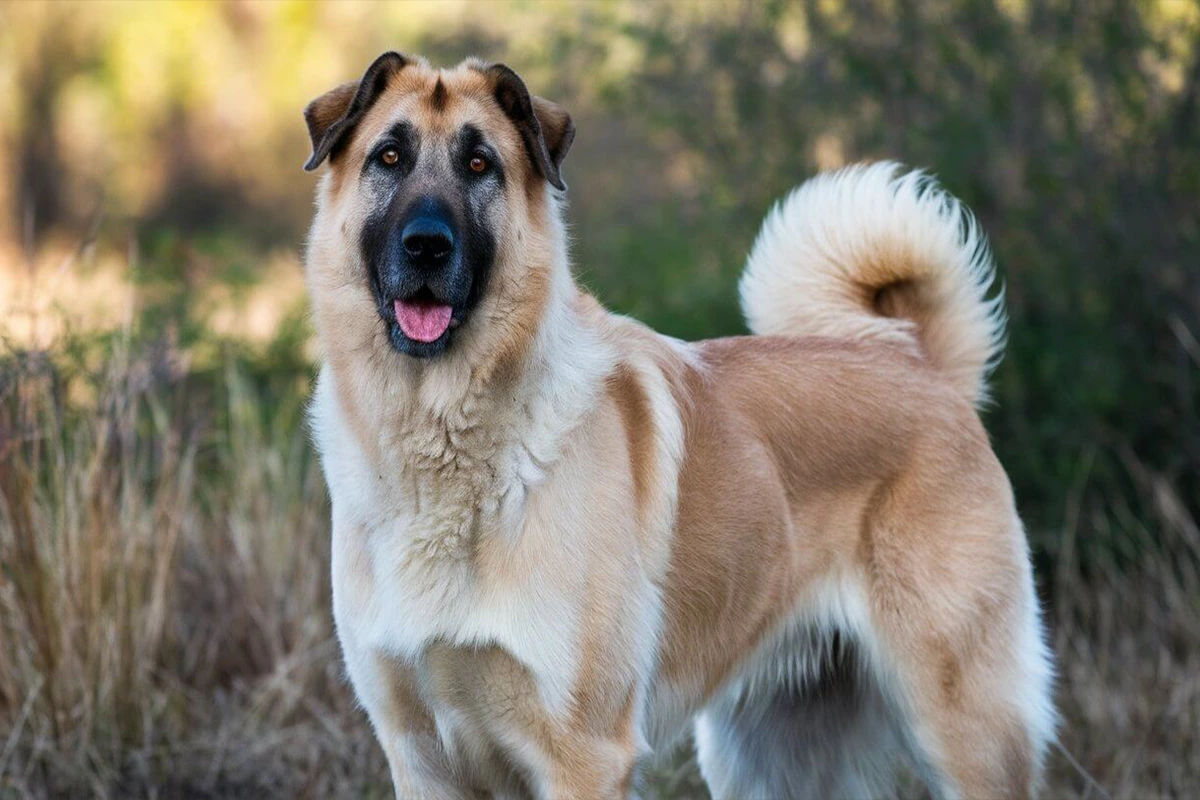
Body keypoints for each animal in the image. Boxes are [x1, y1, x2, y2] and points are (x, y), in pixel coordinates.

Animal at [304, 51, 1056, 800]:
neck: (440, 436)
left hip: (965, 733)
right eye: (389, 156)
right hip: (765, 760)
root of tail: (922, 361)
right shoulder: (422, 758)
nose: (427, 246)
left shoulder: (583, 757)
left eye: (480, 164)